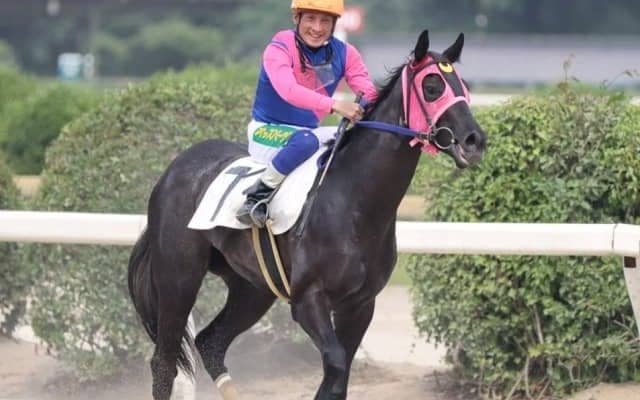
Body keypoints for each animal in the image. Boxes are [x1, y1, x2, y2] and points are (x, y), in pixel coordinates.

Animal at [128, 29, 487, 400]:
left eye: (462, 84)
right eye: (432, 86)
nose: (475, 140)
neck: (354, 205)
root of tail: (173, 171)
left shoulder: (360, 305)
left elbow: (337, 379)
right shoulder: (309, 300)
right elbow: (336, 366)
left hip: (253, 288)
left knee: (210, 342)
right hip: (178, 278)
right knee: (165, 362)